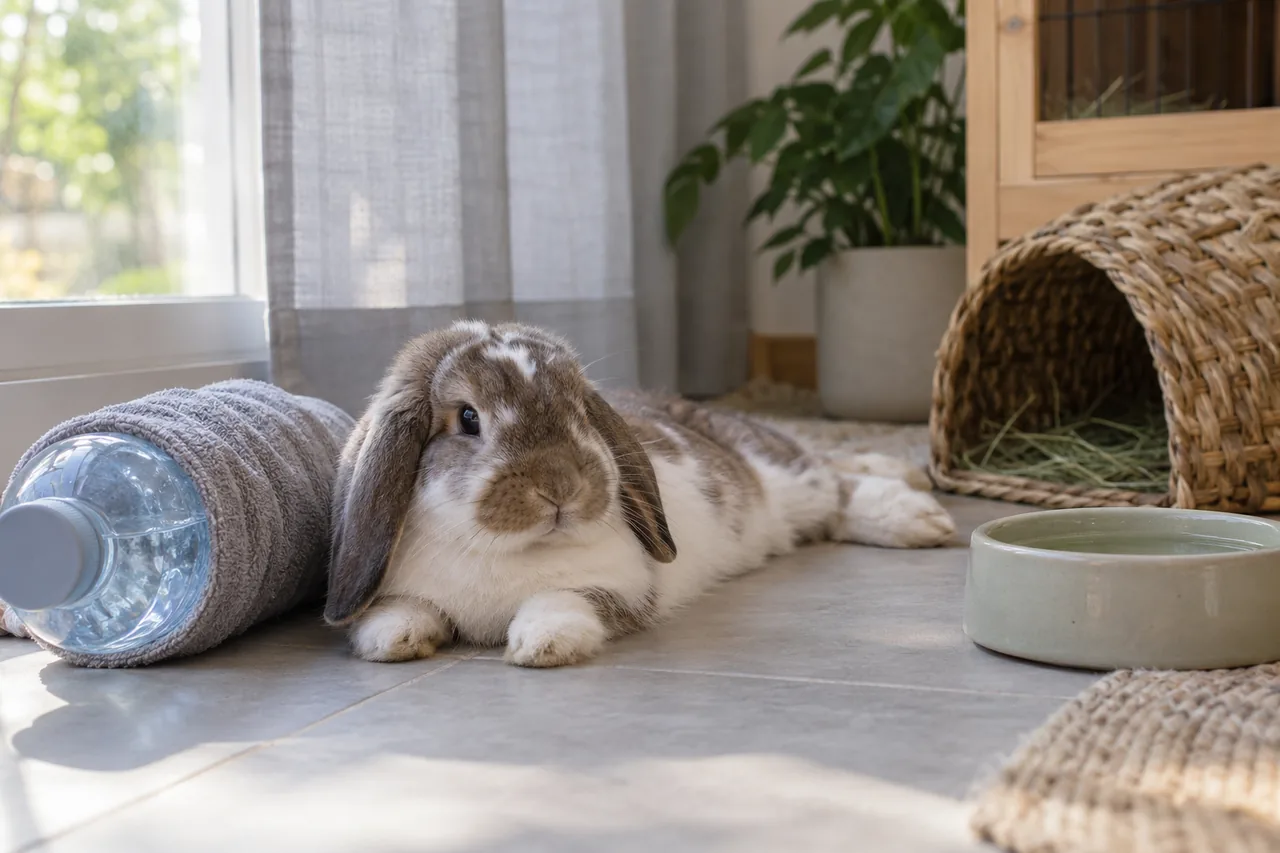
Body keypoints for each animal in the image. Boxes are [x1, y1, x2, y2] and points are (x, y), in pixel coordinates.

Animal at [326, 319, 956, 667]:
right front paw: (391, 638)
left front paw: (541, 644)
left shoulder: (619, 588)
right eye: (467, 418)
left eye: (580, 410)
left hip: (784, 474)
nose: (562, 487)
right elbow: (406, 608)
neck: (497, 549)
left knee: (833, 476)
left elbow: (562, 599)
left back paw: (917, 510)